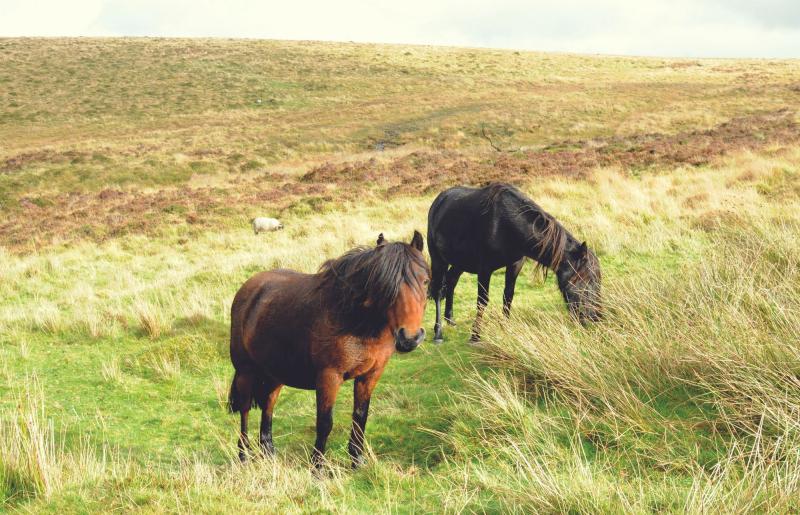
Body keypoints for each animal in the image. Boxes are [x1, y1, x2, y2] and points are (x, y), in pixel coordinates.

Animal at [228, 231, 430, 468]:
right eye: (384, 286)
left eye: (426, 281)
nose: (410, 338)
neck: (355, 321)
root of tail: (248, 290)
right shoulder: (329, 377)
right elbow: (325, 423)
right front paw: (318, 467)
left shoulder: (370, 375)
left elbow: (360, 416)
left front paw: (357, 460)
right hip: (245, 372)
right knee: (245, 410)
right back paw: (243, 455)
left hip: (274, 374)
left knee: (268, 406)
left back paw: (269, 453)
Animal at [427, 183, 602, 342]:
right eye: (588, 280)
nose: (596, 317)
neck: (504, 224)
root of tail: (439, 200)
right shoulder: (484, 269)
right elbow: (482, 301)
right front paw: (475, 336)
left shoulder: (515, 264)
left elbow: (508, 296)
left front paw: (505, 329)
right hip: (438, 260)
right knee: (438, 291)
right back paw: (438, 333)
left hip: (460, 262)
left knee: (451, 281)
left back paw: (450, 319)